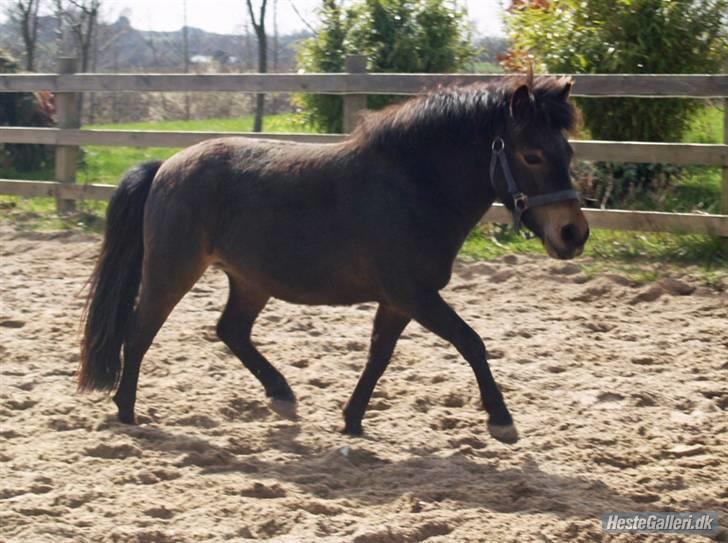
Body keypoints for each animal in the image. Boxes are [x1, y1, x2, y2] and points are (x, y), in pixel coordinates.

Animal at [79, 76, 588, 444]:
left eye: (567, 150)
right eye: (532, 155)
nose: (574, 234)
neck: (414, 186)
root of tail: (165, 165)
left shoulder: (400, 301)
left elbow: (380, 356)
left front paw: (352, 420)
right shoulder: (415, 294)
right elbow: (471, 343)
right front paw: (502, 421)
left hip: (250, 280)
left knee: (230, 330)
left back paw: (281, 396)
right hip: (172, 271)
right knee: (139, 331)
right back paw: (127, 409)